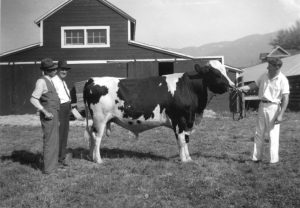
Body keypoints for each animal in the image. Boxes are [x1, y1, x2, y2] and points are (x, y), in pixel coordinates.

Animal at [83, 60, 236, 164]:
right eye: (216, 73)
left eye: (225, 71)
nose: (232, 86)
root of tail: (92, 79)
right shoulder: (179, 119)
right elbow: (181, 140)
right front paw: (183, 160)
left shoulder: (188, 120)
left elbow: (187, 139)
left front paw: (189, 158)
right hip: (100, 118)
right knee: (97, 137)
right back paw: (98, 160)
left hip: (96, 119)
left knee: (91, 134)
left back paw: (91, 157)